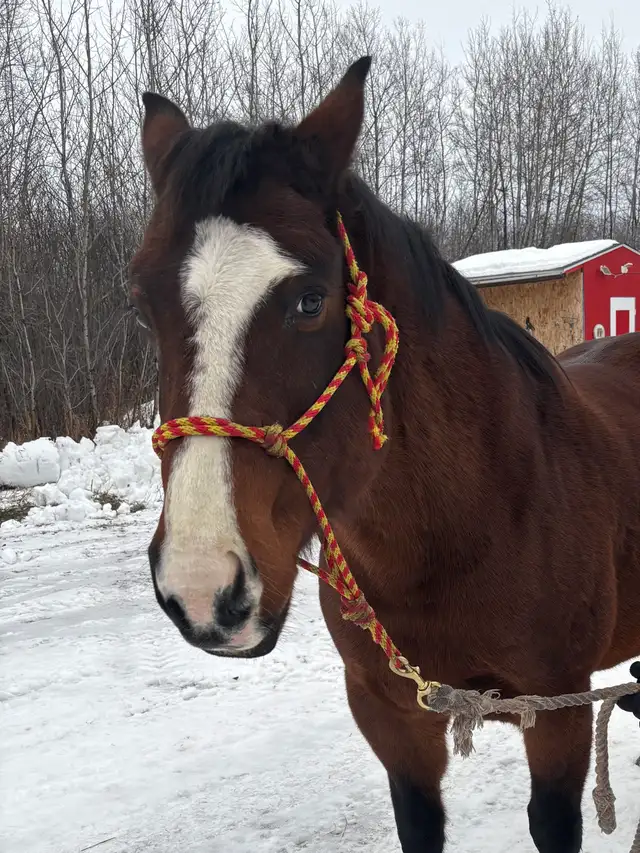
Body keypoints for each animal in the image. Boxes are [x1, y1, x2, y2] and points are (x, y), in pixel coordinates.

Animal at [130, 57, 640, 852]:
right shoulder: (391, 718)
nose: (202, 588)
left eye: (310, 300)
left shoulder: (557, 711)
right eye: (142, 303)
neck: (475, 522)